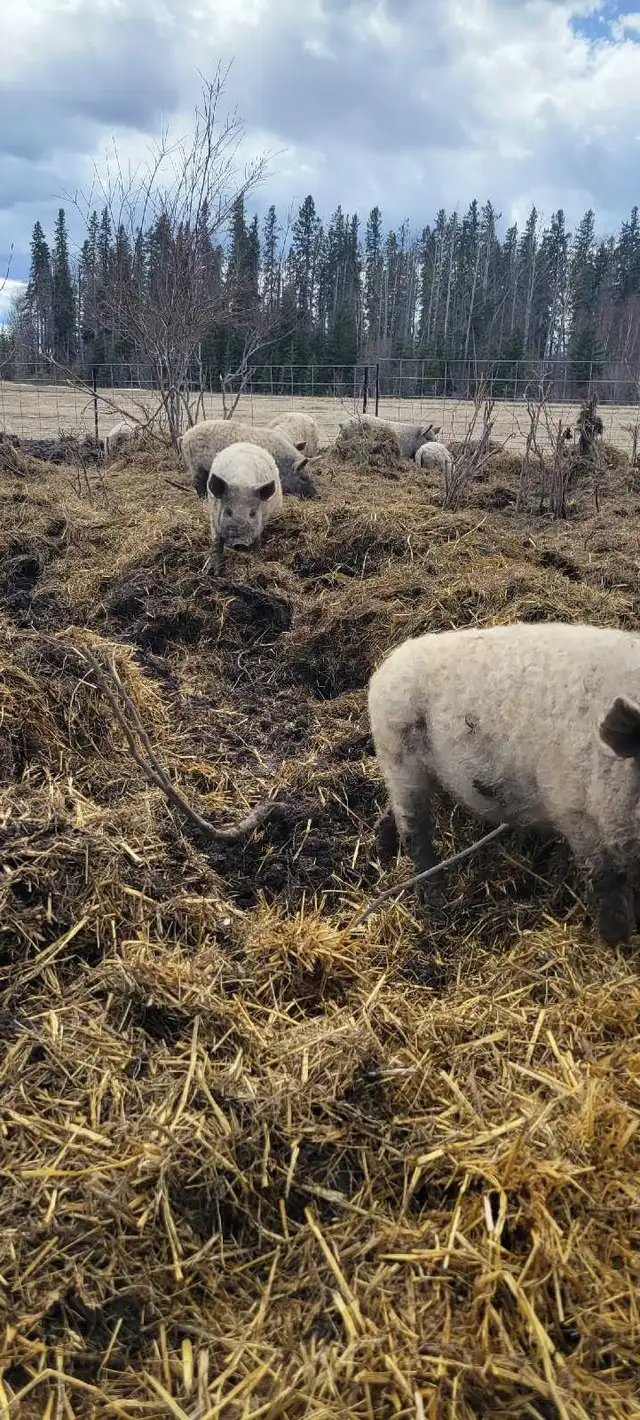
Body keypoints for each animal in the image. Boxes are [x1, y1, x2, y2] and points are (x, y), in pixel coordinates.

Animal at [204, 442, 283, 574]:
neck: (242, 481)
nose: (240, 543)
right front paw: (214, 572)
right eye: (228, 512)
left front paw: (256, 565)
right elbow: (216, 544)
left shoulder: (260, 523)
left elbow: (257, 542)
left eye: (253, 513)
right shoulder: (213, 516)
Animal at [367, 621, 640, 945]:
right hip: (399, 758)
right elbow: (604, 881)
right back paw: (435, 900)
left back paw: (382, 850)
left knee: (391, 813)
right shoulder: (576, 811)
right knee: (413, 827)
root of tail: (383, 670)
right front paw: (616, 942)